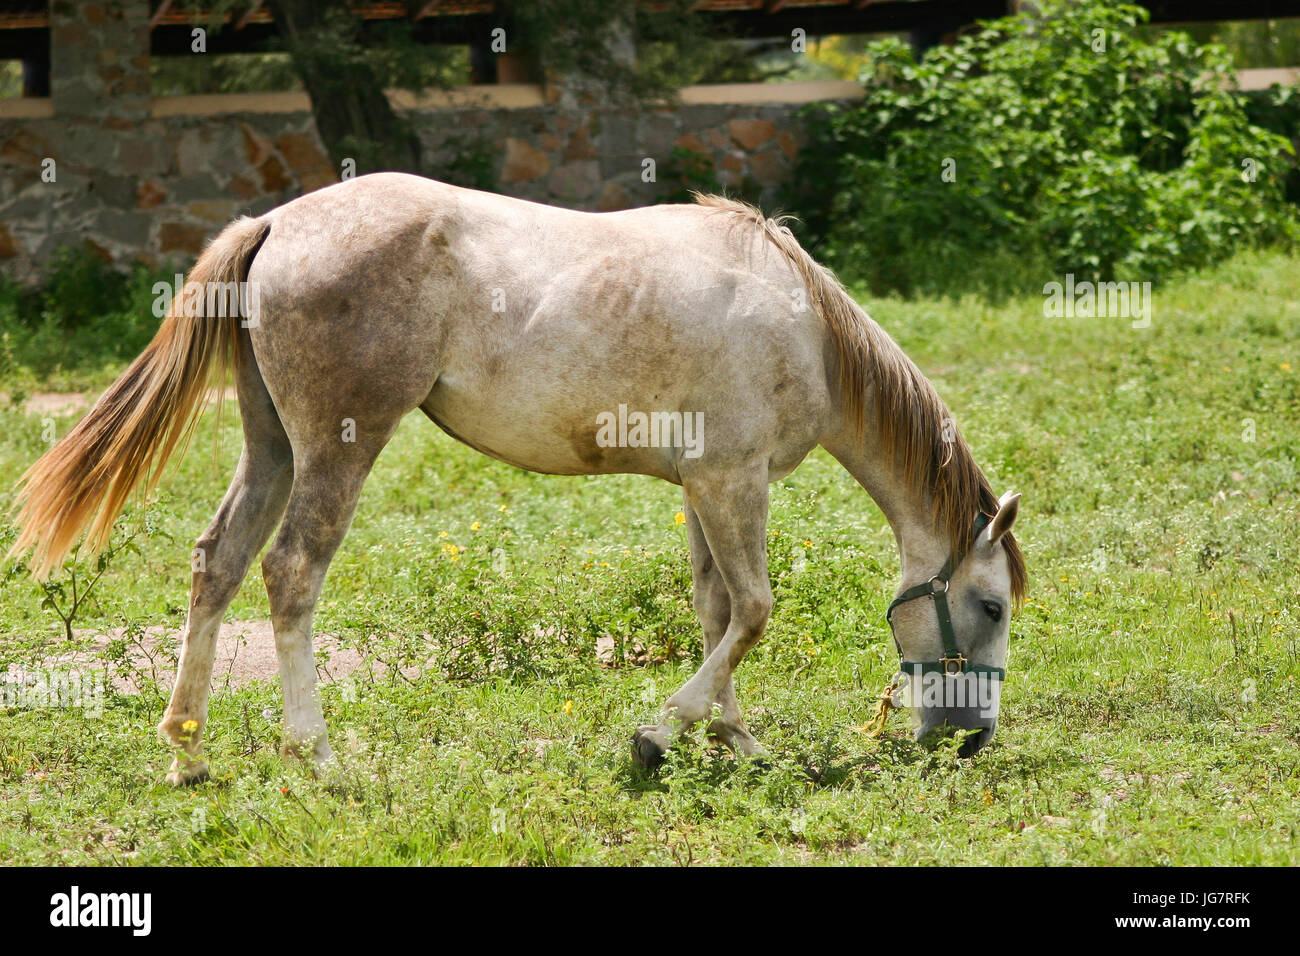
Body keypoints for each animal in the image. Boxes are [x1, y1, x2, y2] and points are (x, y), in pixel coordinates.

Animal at [10, 173, 1025, 784]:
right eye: (990, 606)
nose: (971, 739)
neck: (800, 323)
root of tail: (275, 224)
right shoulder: (737, 483)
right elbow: (754, 612)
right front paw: (661, 736)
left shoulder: (703, 489)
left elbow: (717, 614)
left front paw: (732, 741)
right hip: (337, 450)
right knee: (290, 572)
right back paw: (318, 754)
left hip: (273, 448)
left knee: (216, 563)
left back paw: (187, 754)